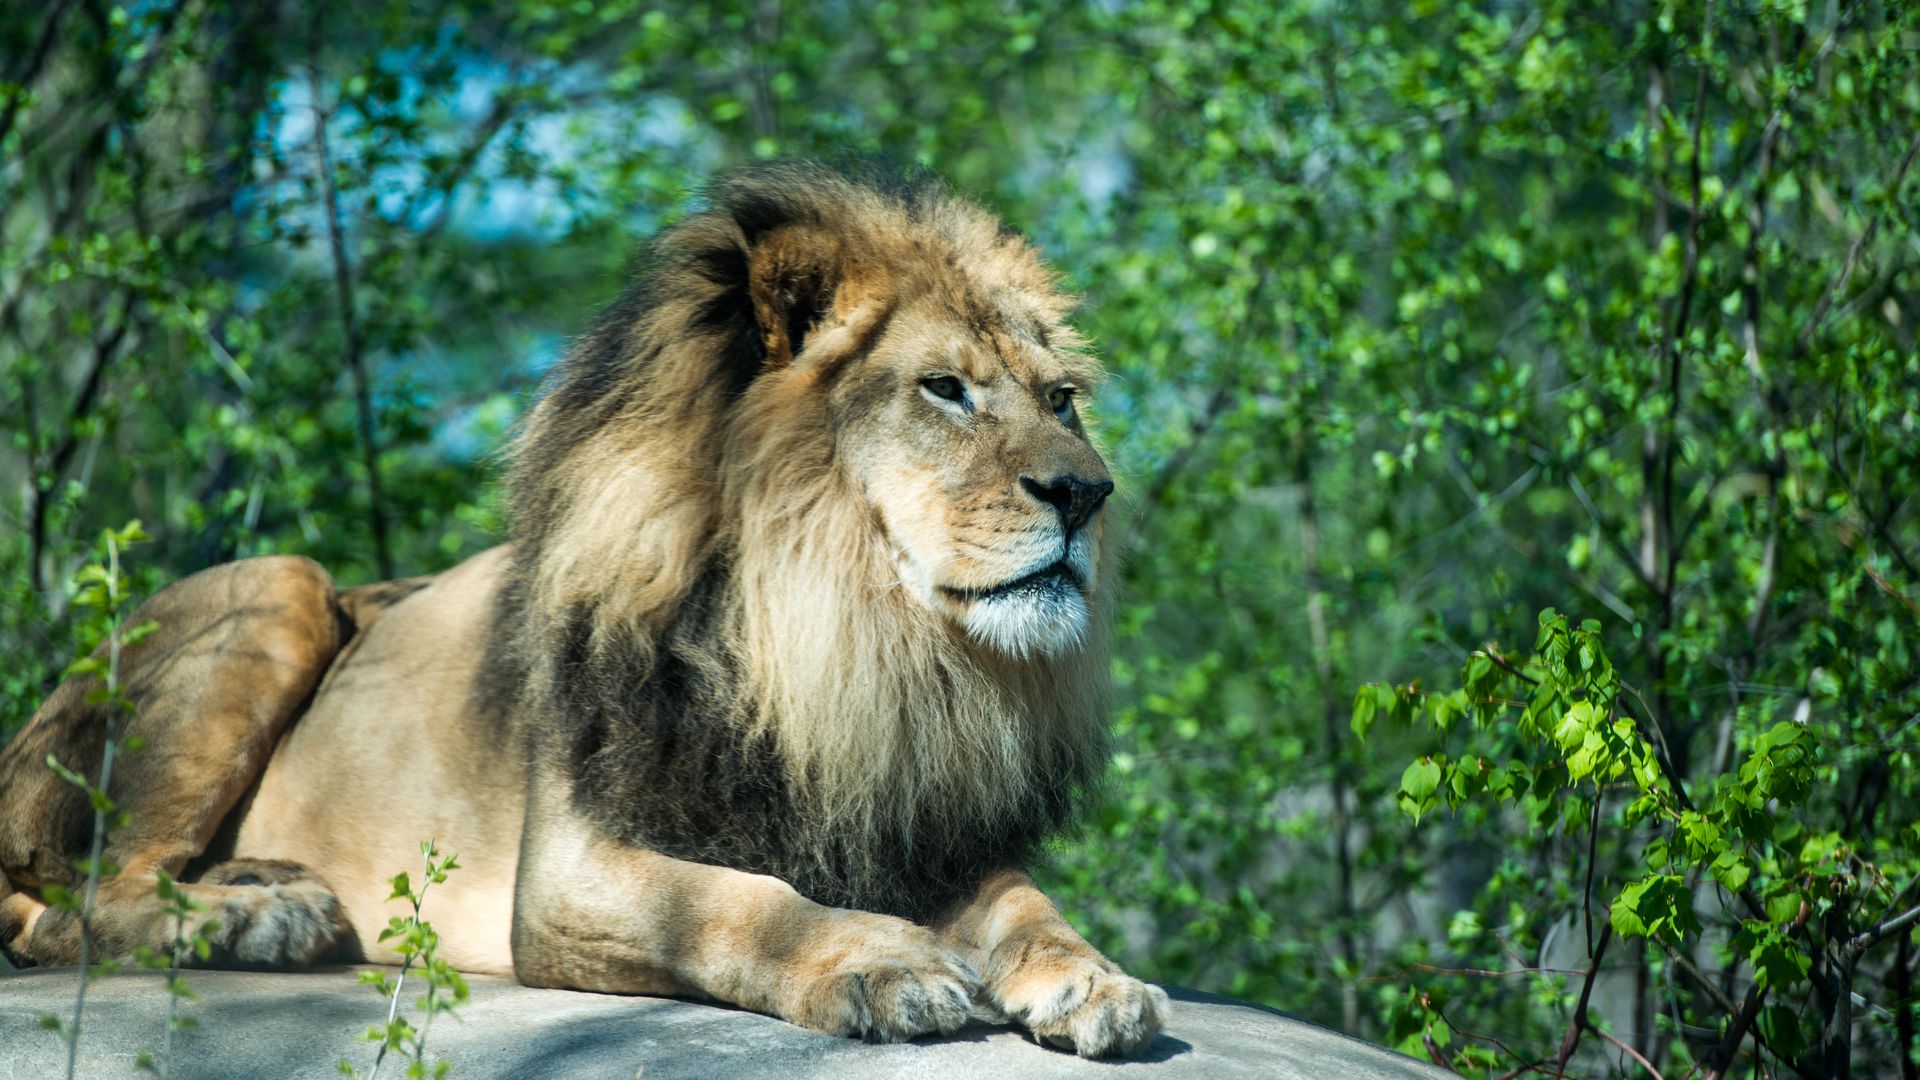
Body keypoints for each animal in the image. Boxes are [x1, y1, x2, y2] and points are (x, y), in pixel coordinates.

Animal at [0, 161, 1167, 1053]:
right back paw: (261, 917)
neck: (831, 640)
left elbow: (1026, 902)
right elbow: (742, 904)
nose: (1088, 494)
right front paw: (879, 959)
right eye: (945, 390)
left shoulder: (910, 828)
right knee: (72, 906)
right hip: (277, 583)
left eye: (1061, 400)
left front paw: (1094, 977)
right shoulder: (568, 877)